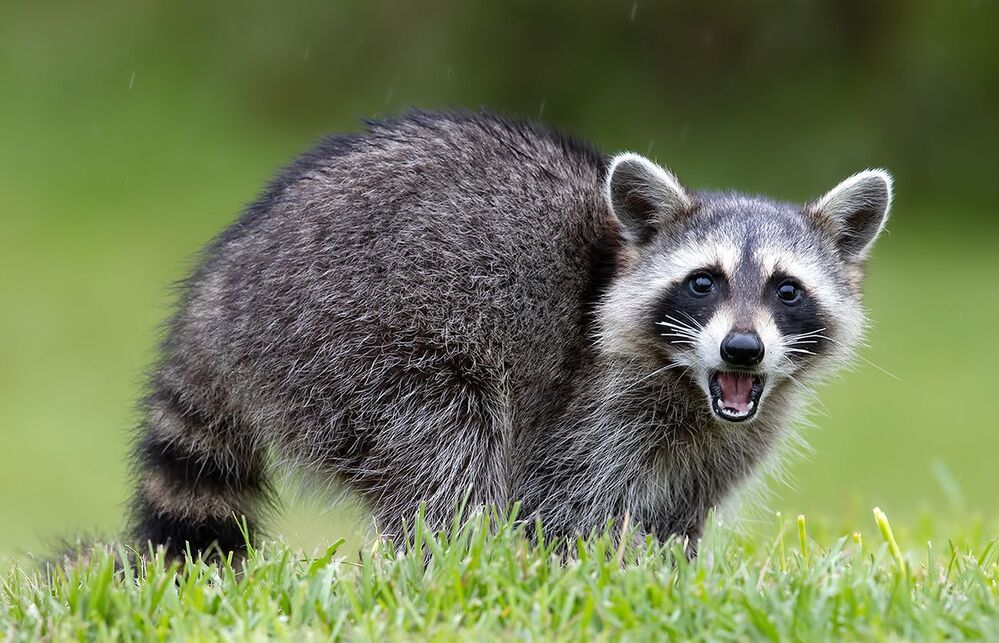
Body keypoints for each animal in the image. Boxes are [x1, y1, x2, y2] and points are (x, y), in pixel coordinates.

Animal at [129, 110, 891, 556]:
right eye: (703, 283)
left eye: (786, 290)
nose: (742, 349)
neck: (690, 386)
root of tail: (222, 283)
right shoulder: (591, 401)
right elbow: (562, 503)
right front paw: (580, 571)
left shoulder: (727, 438)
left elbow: (676, 516)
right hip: (353, 341)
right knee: (446, 447)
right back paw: (457, 561)